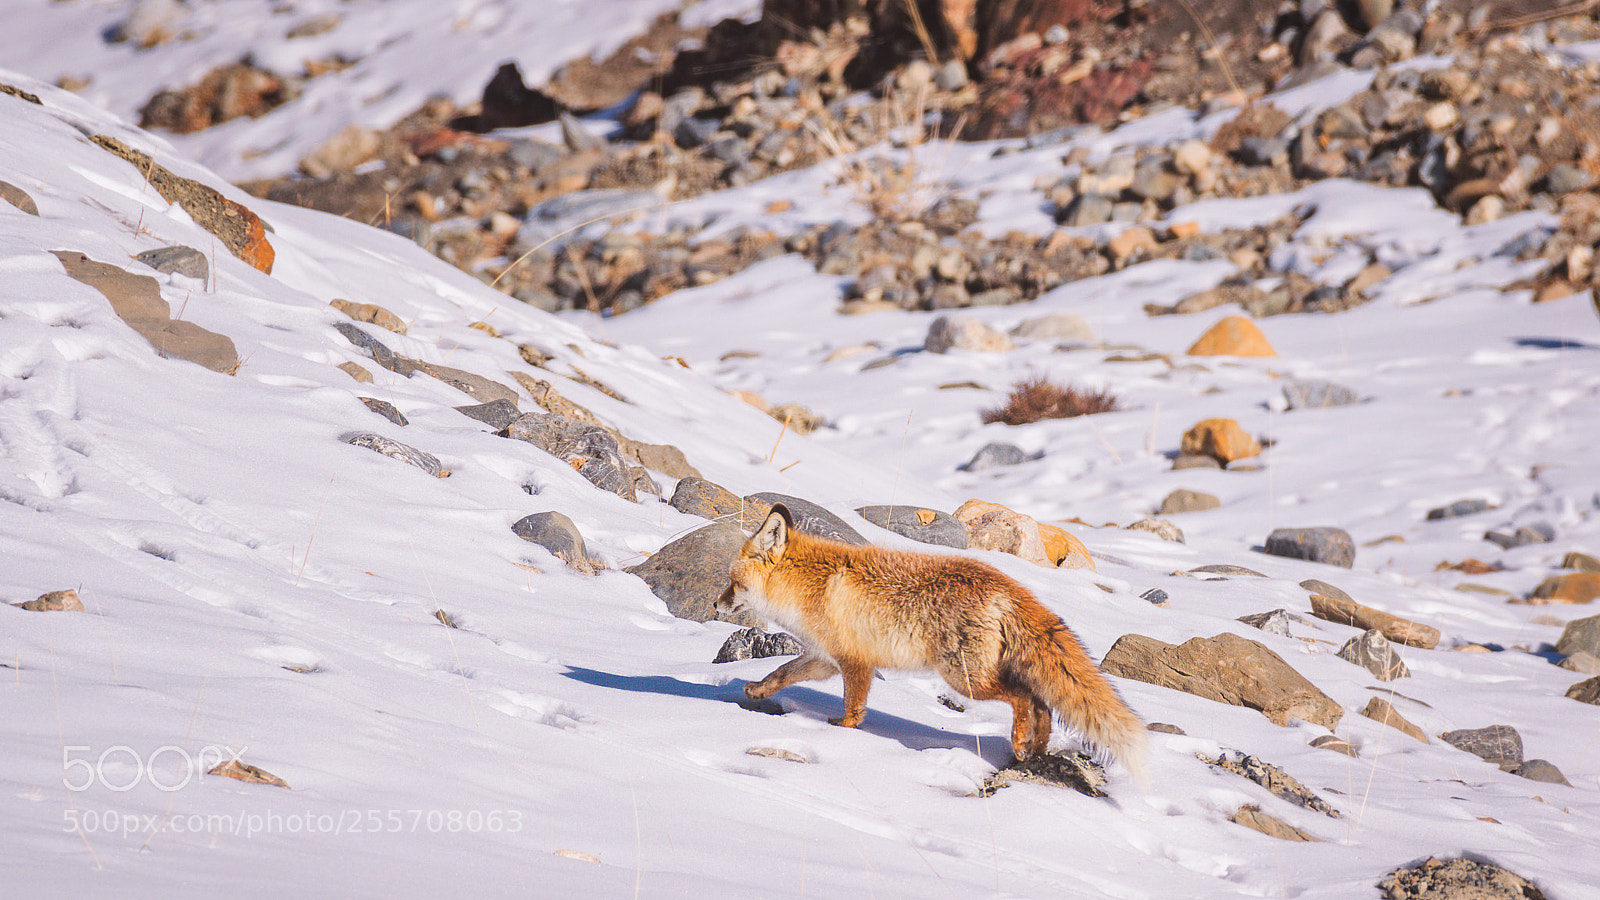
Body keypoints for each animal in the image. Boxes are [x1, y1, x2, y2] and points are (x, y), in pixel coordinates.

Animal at [715, 504, 1148, 783]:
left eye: (732, 583)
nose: (716, 605)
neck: (809, 586)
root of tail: (1008, 586)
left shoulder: (855, 661)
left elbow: (854, 707)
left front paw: (842, 730)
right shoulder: (824, 658)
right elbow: (781, 672)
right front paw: (756, 690)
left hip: (965, 679)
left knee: (1025, 696)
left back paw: (1022, 744)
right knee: (1041, 701)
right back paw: (1034, 749)